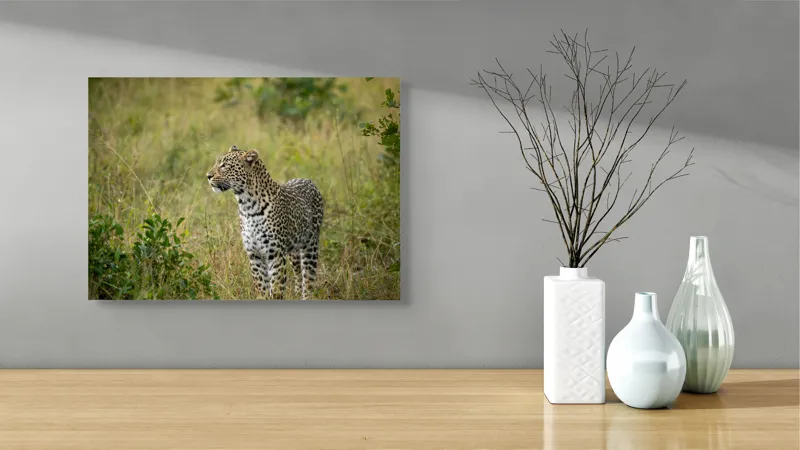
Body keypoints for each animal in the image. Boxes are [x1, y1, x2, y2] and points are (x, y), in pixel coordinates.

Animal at [206, 145, 324, 300]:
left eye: (224, 165)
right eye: (217, 163)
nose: (208, 176)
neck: (247, 206)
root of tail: (308, 180)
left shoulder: (275, 254)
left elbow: (277, 288)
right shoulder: (254, 254)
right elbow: (261, 287)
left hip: (310, 245)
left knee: (309, 278)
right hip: (293, 250)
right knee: (298, 273)